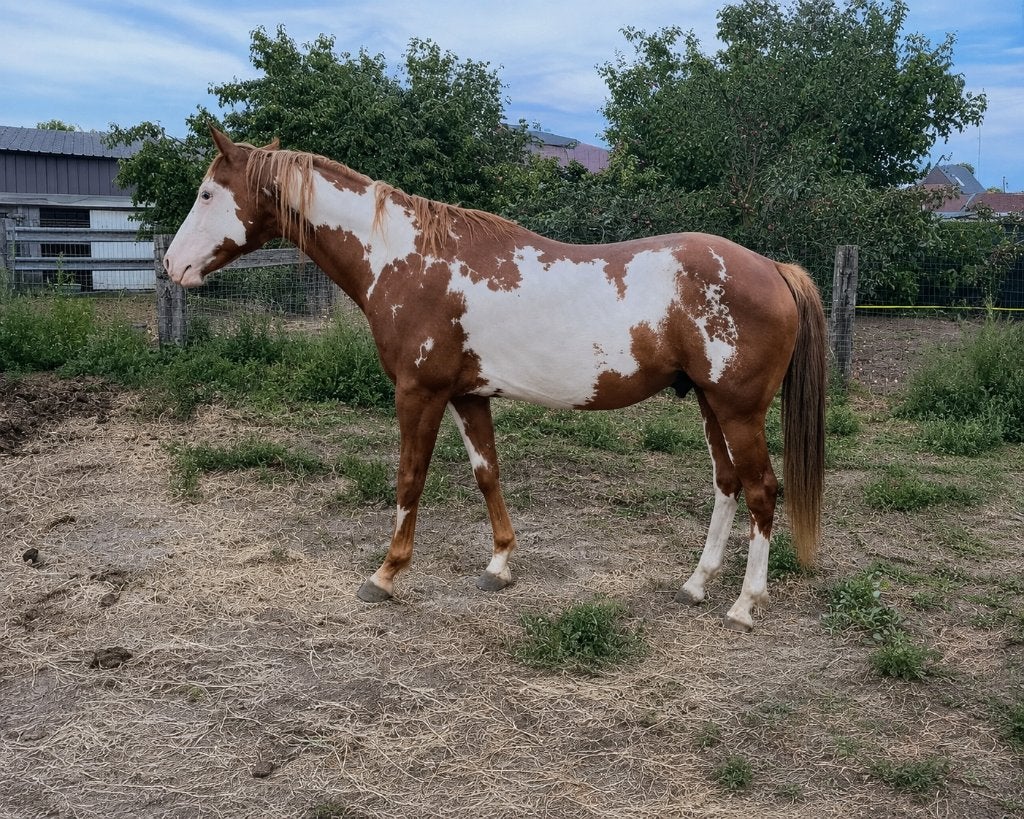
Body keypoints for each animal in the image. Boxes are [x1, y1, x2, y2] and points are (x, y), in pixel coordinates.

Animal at [164, 127, 826, 632]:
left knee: (763, 490)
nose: (171, 264)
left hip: (738, 410)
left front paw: (386, 573)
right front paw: (500, 565)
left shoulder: (419, 394)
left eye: (206, 193)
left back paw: (744, 604)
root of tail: (773, 268)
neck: (408, 261)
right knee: (727, 485)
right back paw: (696, 584)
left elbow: (409, 479)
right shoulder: (467, 395)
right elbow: (488, 475)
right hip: (711, 405)